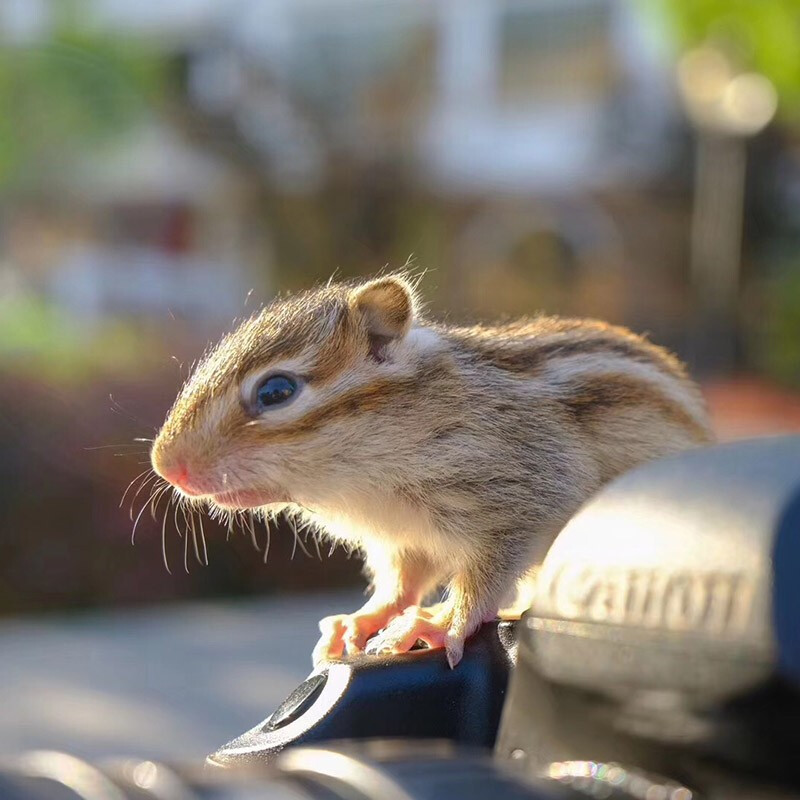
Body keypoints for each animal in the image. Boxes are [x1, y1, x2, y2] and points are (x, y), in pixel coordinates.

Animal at [150, 276, 712, 668]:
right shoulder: (405, 539)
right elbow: (401, 584)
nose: (164, 465)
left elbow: (484, 579)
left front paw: (445, 623)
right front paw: (362, 619)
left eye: (275, 391)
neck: (364, 482)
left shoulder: (527, 497)